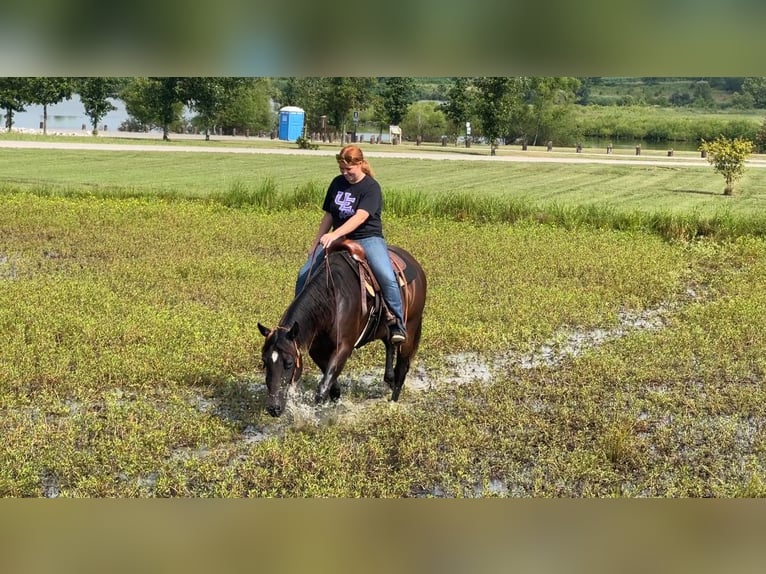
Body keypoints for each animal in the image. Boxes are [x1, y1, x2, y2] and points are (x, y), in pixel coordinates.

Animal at [257, 239, 427, 417]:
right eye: (264, 362)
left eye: (289, 363)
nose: (273, 408)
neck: (331, 299)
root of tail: (415, 265)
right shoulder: (317, 351)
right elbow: (332, 386)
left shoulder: (343, 347)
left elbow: (323, 388)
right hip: (385, 328)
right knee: (389, 345)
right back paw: (389, 379)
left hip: (411, 327)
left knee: (402, 367)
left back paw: (392, 403)